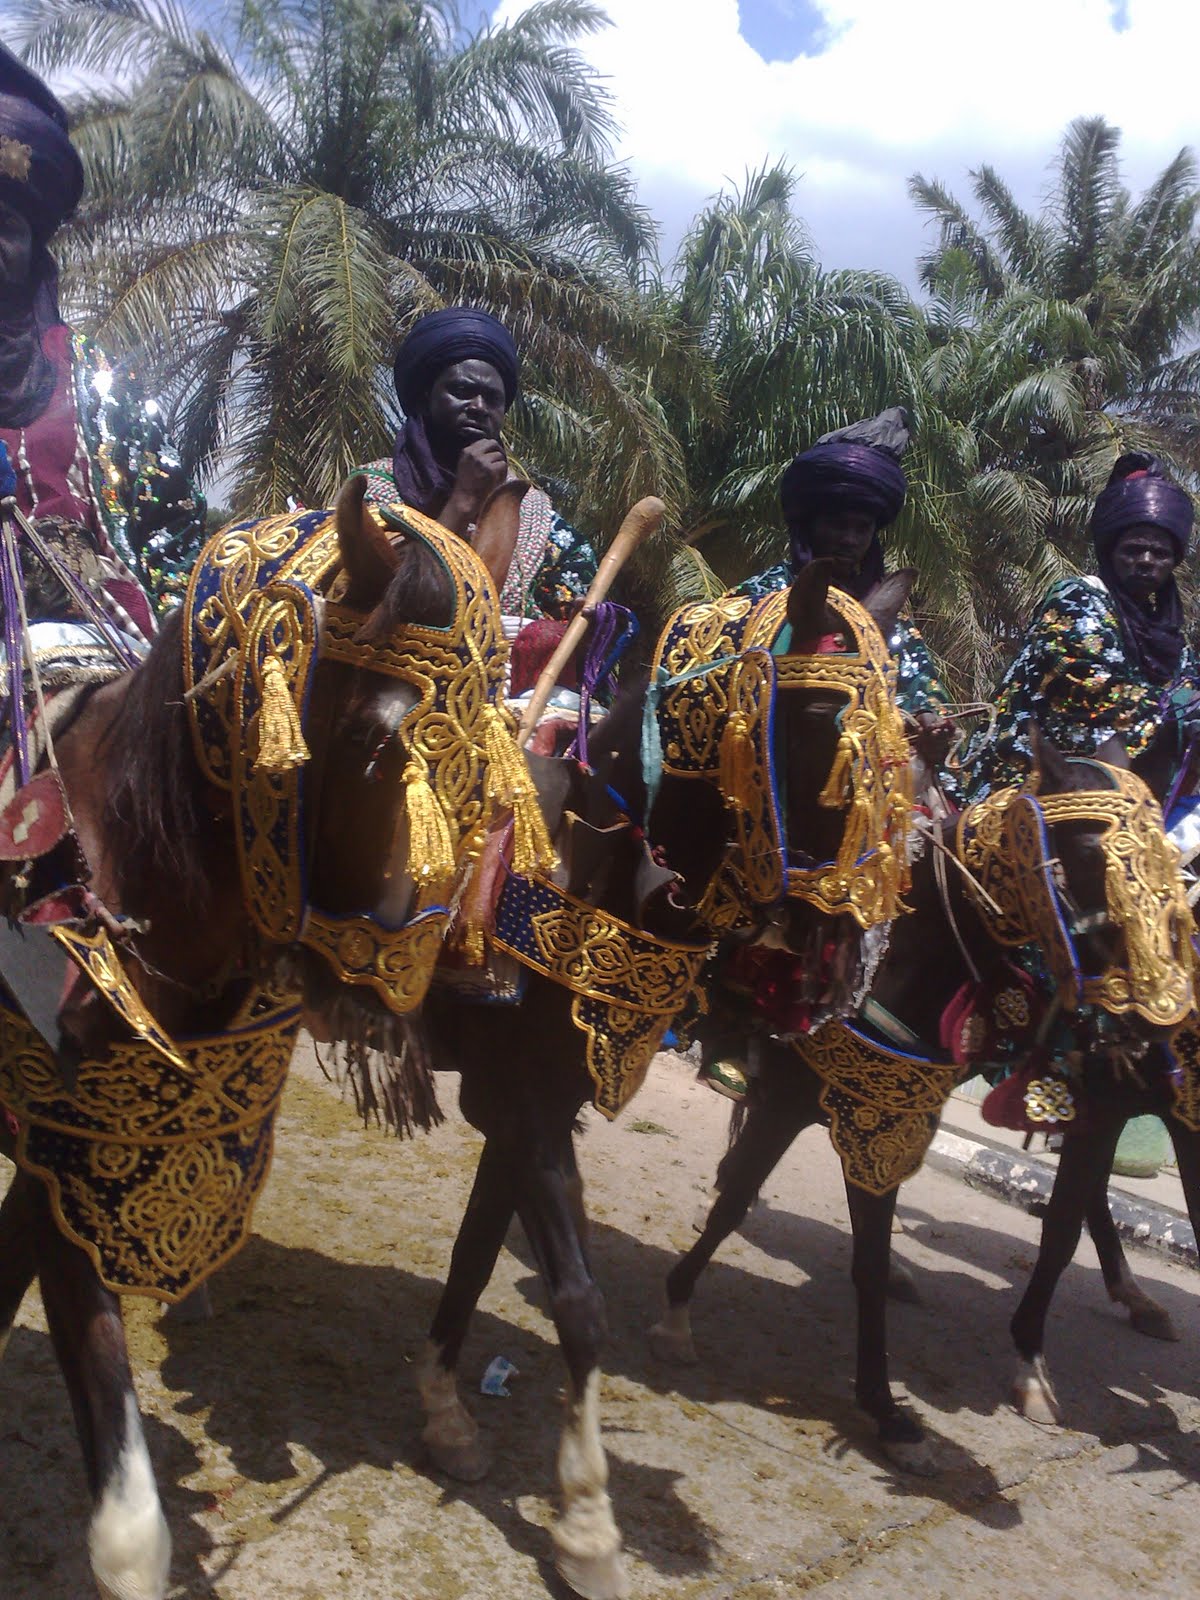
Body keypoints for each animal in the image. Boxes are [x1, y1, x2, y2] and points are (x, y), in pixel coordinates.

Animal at [0, 480, 521, 1600]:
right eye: (371, 743)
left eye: (485, 752)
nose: (392, 990)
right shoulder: (74, 1156)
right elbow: (129, 1524)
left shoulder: (77, 1158)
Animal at [419, 563, 915, 1600]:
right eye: (818, 724)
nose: (849, 956)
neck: (594, 868)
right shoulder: (521, 1110)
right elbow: (578, 1305)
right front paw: (588, 1528)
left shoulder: (530, 1112)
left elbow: (477, 1257)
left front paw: (445, 1411)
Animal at [649, 732, 1196, 1465]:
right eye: (1088, 856)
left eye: (1170, 864)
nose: (1158, 1016)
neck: (905, 952)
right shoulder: (796, 1103)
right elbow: (736, 1205)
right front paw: (677, 1313)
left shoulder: (890, 1114)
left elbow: (871, 1255)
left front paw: (887, 1410)